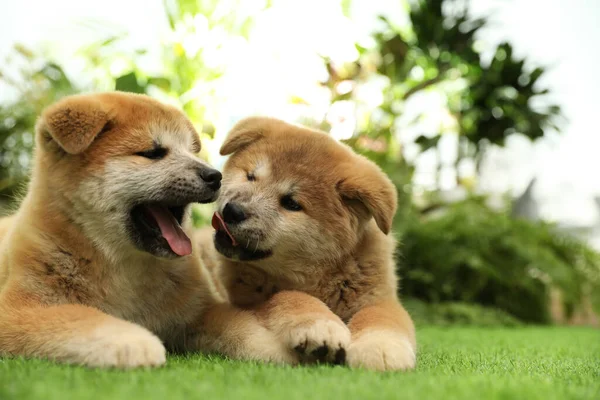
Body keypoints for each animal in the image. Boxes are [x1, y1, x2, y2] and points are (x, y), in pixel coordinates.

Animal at [0, 92, 300, 368]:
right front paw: (134, 341)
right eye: (154, 153)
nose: (215, 176)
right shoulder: (18, 309)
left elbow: (241, 325)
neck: (125, 267)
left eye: (191, 151)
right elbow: (80, 318)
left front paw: (282, 347)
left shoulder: (198, 311)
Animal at [206, 116, 418, 372]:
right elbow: (287, 296)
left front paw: (380, 347)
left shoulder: (381, 297)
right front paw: (321, 326)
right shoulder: (248, 300)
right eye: (250, 176)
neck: (323, 277)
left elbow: (381, 317)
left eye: (291, 203)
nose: (232, 211)